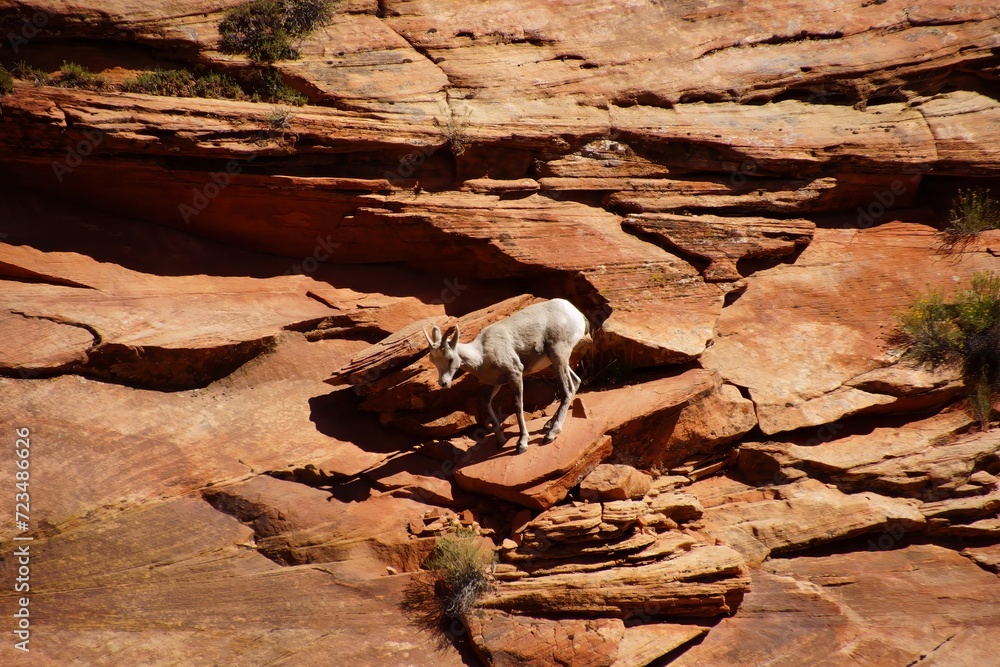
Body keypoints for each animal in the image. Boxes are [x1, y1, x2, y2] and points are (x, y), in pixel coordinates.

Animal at [423, 298, 589, 454]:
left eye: (450, 358)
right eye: (433, 360)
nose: (443, 383)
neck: (482, 353)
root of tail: (576, 314)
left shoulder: (515, 374)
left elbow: (518, 405)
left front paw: (522, 444)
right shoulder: (496, 383)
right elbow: (486, 403)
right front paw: (501, 440)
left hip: (558, 356)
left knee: (567, 390)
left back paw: (551, 434)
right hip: (558, 362)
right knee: (575, 382)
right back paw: (548, 425)